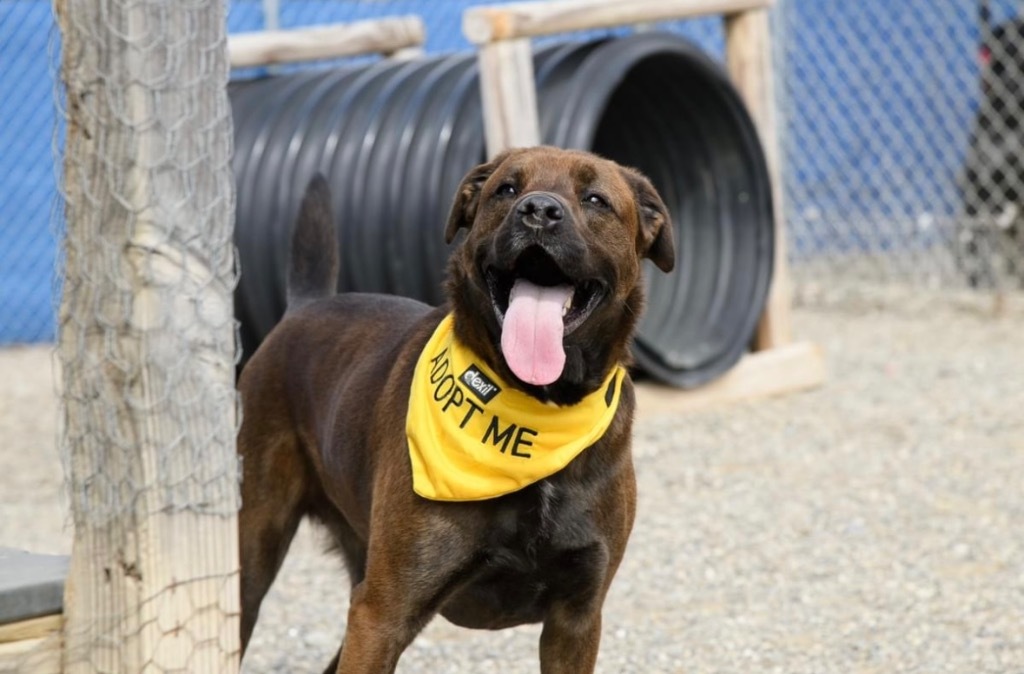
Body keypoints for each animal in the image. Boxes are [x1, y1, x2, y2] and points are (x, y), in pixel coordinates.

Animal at [235, 148, 675, 671]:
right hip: (254, 560)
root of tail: (303, 307)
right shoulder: (383, 614)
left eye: (595, 199)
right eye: (507, 189)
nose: (539, 211)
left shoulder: (576, 620)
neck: (535, 408)